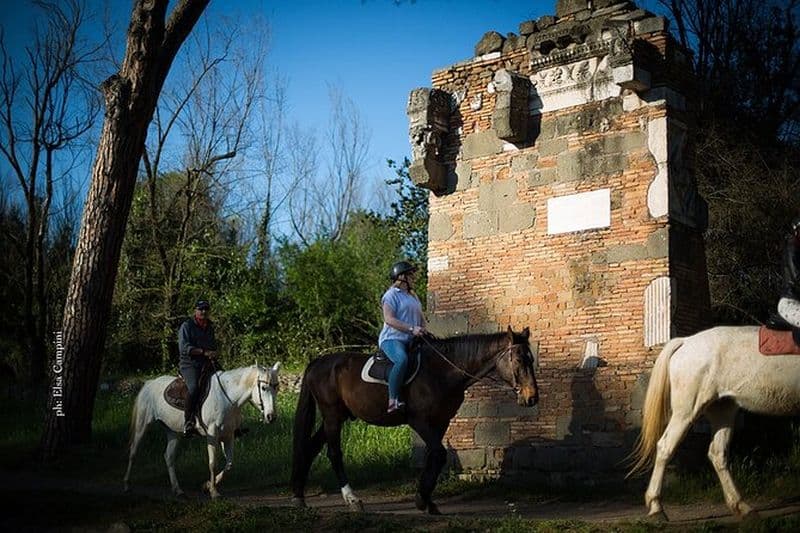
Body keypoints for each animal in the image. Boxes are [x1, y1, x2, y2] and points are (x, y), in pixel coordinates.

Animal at [124, 363, 281, 498]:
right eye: (264, 388)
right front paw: (214, 492)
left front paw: (207, 486)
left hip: (173, 432)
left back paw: (178, 490)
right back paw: (127, 485)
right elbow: (212, 463)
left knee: (168, 457)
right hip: (142, 425)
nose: (271, 417)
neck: (229, 398)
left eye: (276, 387)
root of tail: (149, 383)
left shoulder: (228, 435)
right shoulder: (212, 434)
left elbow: (229, 463)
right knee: (133, 452)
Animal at [291, 327, 538, 514]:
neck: (442, 372)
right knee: (334, 453)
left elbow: (434, 455)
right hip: (332, 415)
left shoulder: (441, 422)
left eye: (531, 359)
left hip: (339, 415)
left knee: (309, 449)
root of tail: (317, 363)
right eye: (518, 359)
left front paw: (426, 500)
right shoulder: (419, 421)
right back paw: (352, 499)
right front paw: (422, 499)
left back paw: (299, 497)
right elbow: (438, 454)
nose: (532, 397)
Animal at [628, 326, 800, 519]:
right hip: (686, 411)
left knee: (717, 453)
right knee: (666, 447)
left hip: (723, 409)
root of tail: (686, 342)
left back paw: (741, 506)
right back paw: (656, 507)